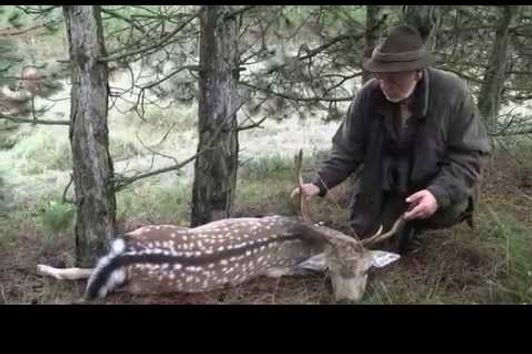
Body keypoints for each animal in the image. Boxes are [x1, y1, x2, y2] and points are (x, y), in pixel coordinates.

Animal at [36, 149, 404, 302]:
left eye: (367, 270)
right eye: (331, 271)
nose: (348, 301)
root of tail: (129, 258)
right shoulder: (276, 263)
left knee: (89, 269)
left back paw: (45, 268)